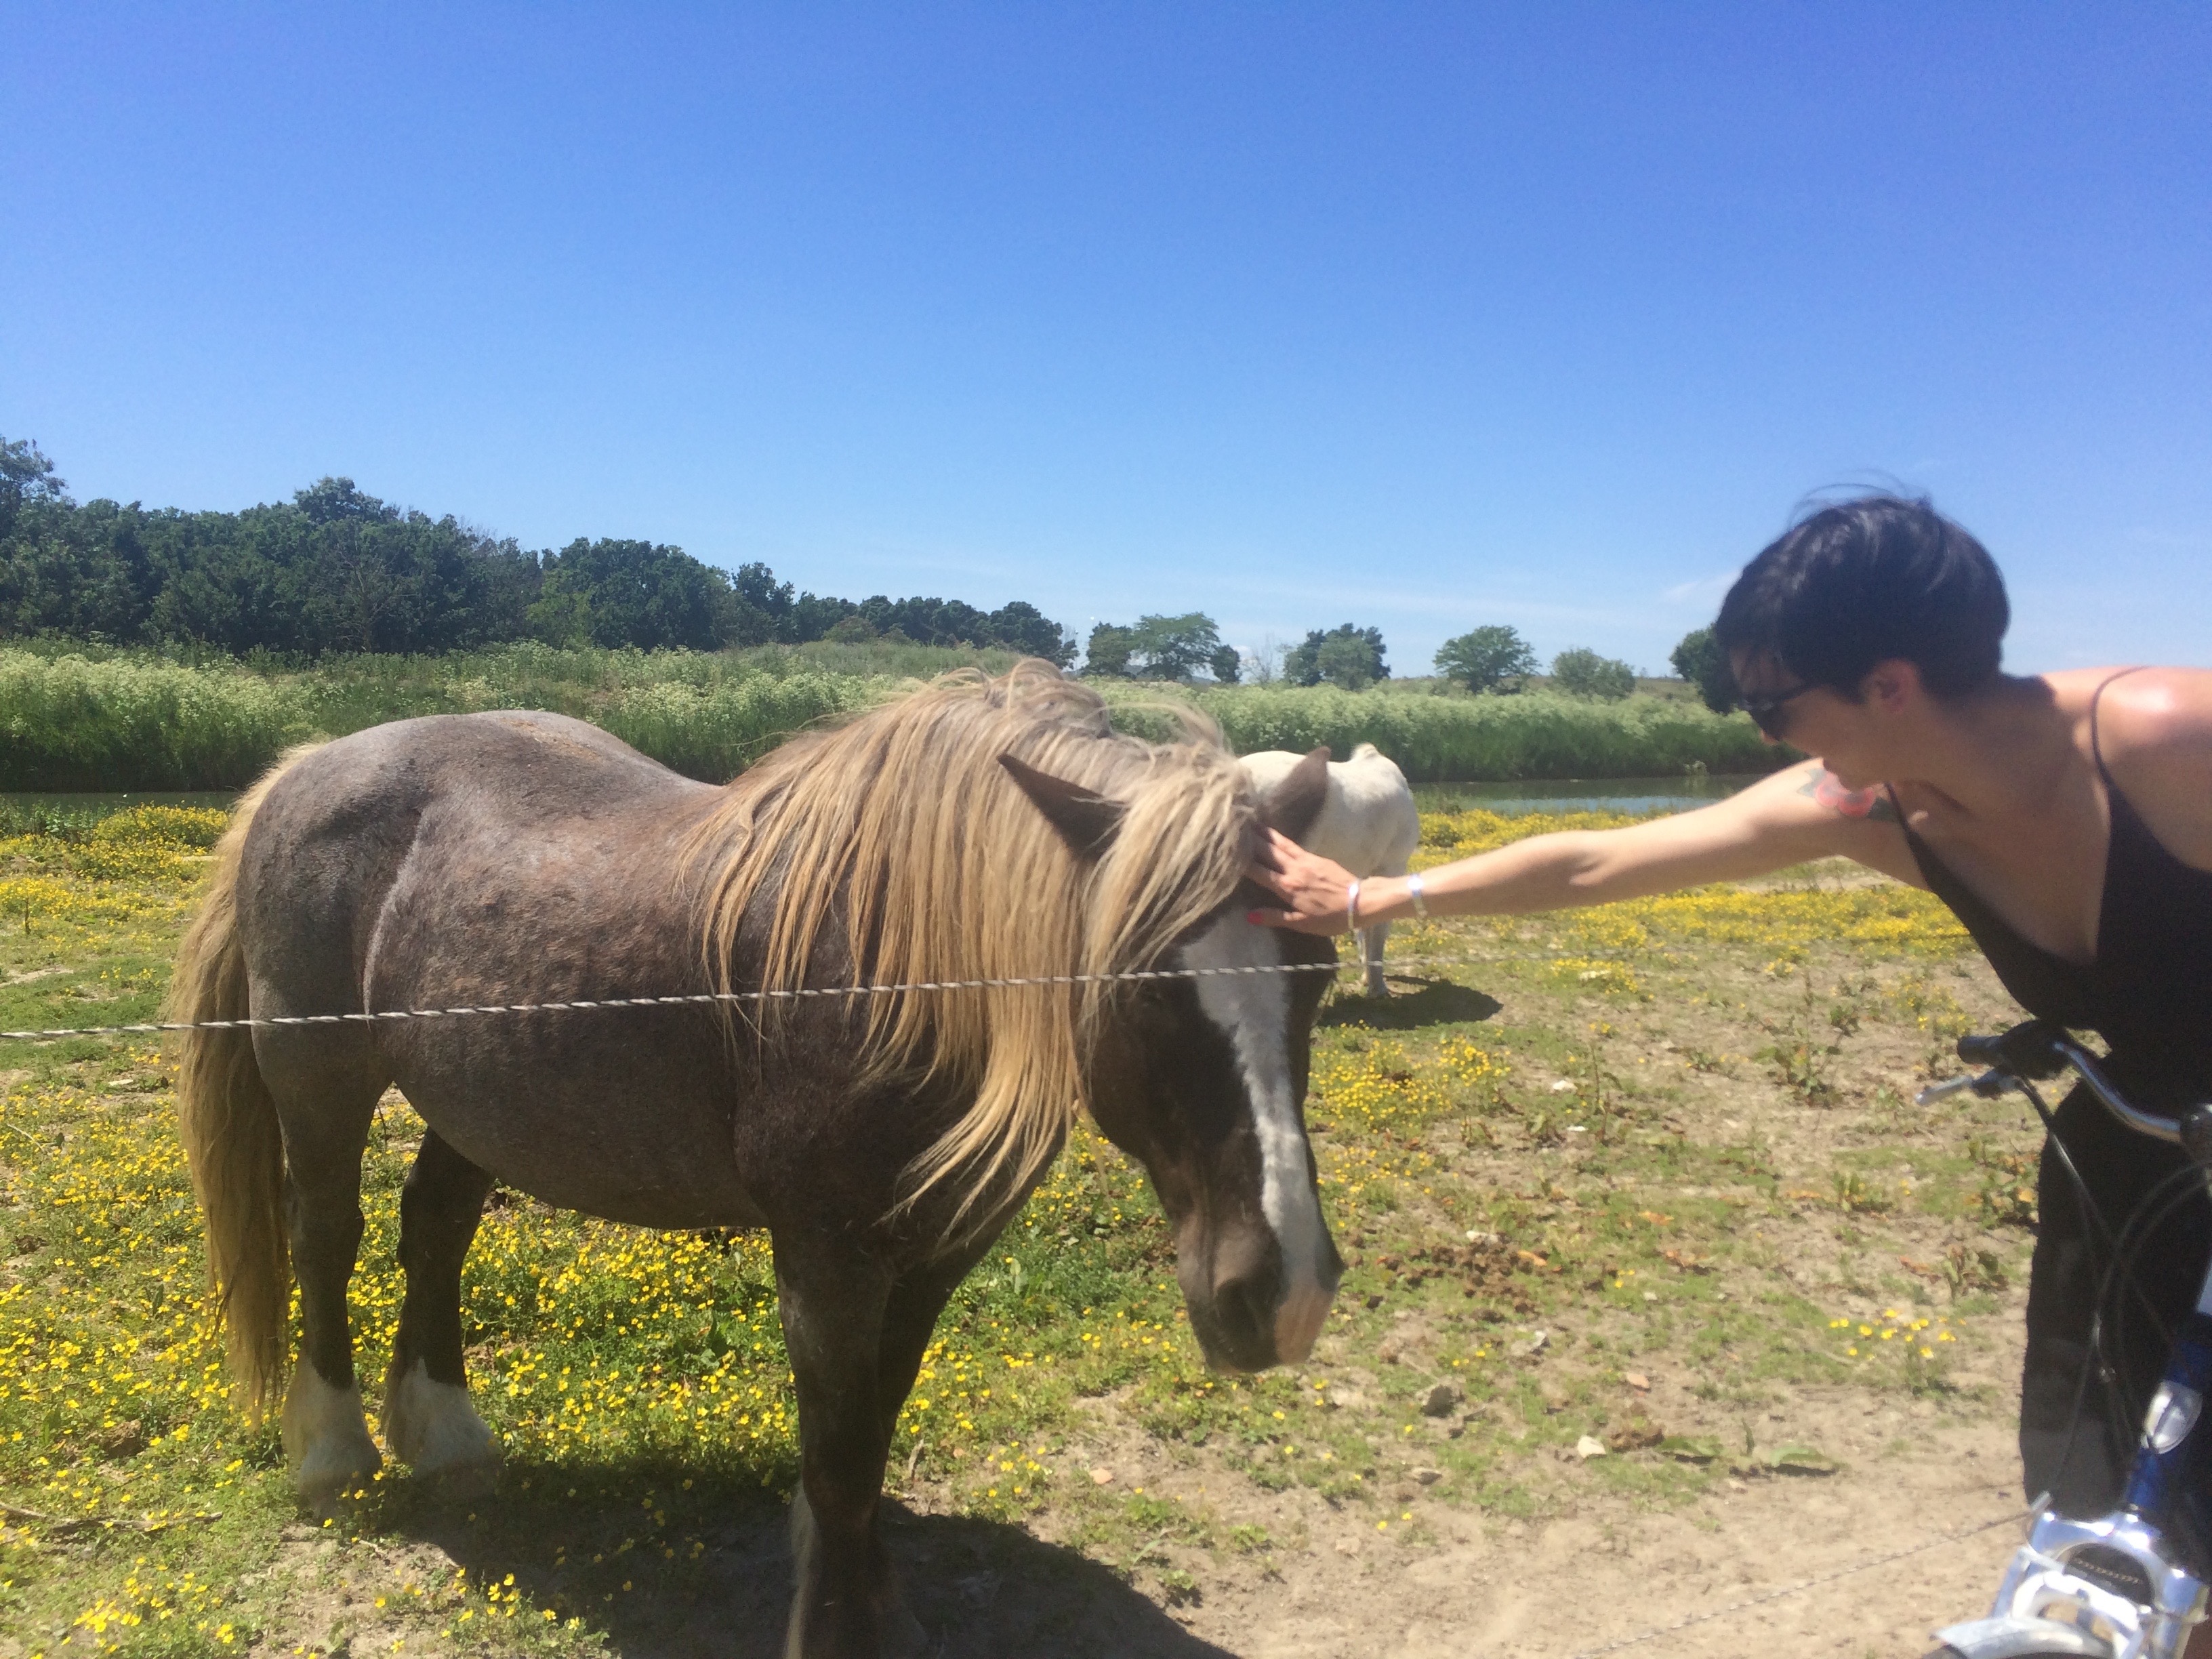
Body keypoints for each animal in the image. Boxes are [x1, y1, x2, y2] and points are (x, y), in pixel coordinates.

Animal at [165, 663, 1345, 1658]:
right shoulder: (826, 1259)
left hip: (474, 1099)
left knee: (436, 1226)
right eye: (1141, 986)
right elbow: (838, 1450)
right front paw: (838, 1627)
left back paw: (447, 1436)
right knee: (326, 1235)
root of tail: (307, 766)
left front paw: (874, 1606)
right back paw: (335, 1456)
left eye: (1320, 969)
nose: (1282, 1292)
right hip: (318, 1079)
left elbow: (871, 1430)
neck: (895, 965)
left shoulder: (936, 1255)